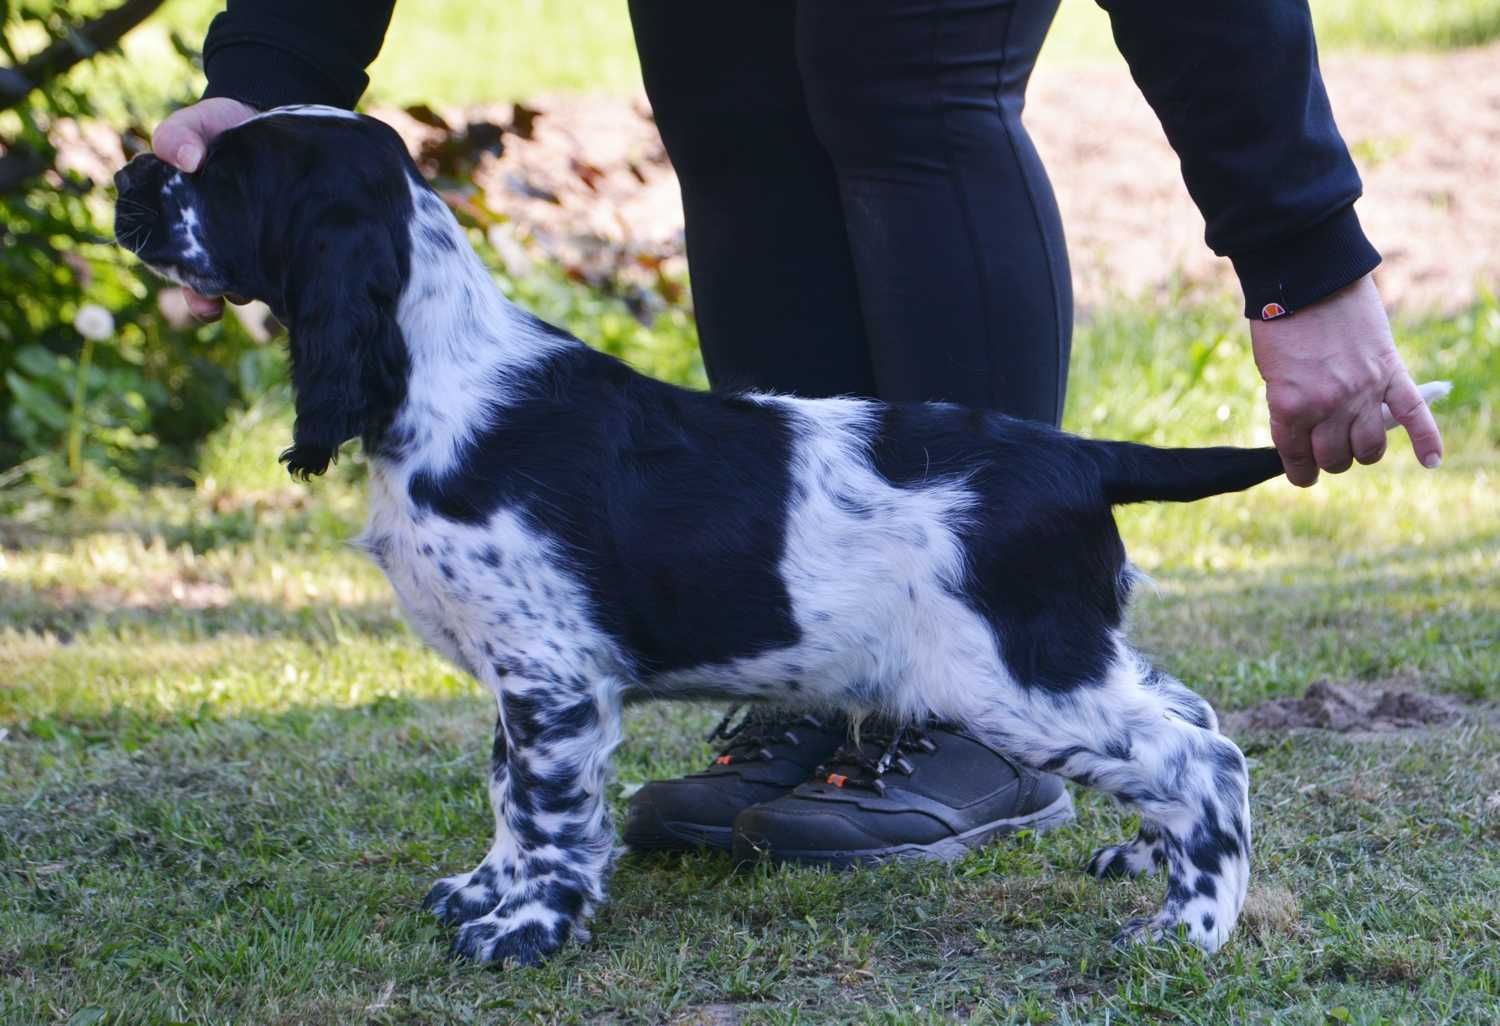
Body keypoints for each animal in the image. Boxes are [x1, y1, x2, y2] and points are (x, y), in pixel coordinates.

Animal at [111, 108, 1446, 966]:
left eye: (219, 176)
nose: (129, 176)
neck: (443, 375)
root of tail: (1074, 452)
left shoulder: (553, 678)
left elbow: (544, 814)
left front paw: (523, 931)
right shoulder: (525, 680)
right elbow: (503, 795)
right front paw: (481, 895)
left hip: (1012, 676)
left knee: (1203, 756)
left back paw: (1189, 927)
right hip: (1065, 651)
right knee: (1192, 716)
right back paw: (1149, 865)